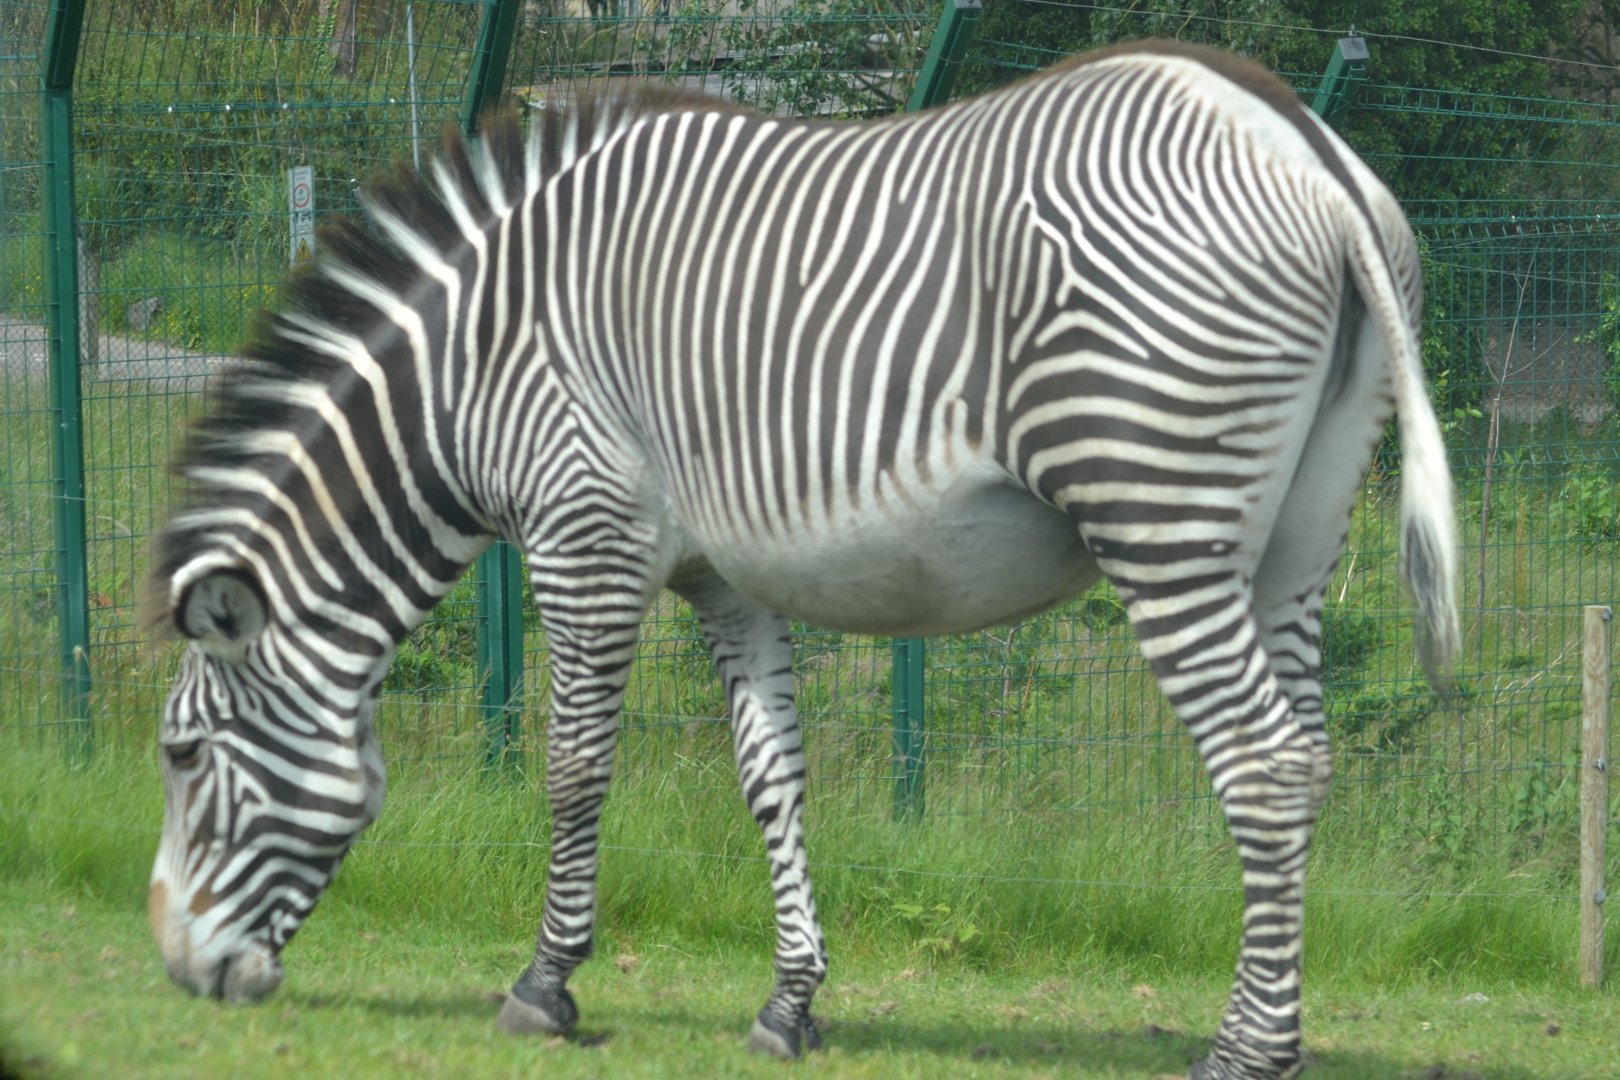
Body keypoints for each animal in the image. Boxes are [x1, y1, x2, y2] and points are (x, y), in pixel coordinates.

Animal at [145, 40, 1458, 1080]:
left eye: (182, 753)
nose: (176, 970)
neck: (473, 367)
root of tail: (1300, 140)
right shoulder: (723, 577)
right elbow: (771, 778)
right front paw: (790, 1003)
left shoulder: (582, 532)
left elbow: (572, 770)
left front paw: (543, 988)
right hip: (1297, 538)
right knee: (1311, 754)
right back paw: (1279, 1031)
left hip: (1161, 516)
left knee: (1265, 765)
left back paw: (1245, 1052)